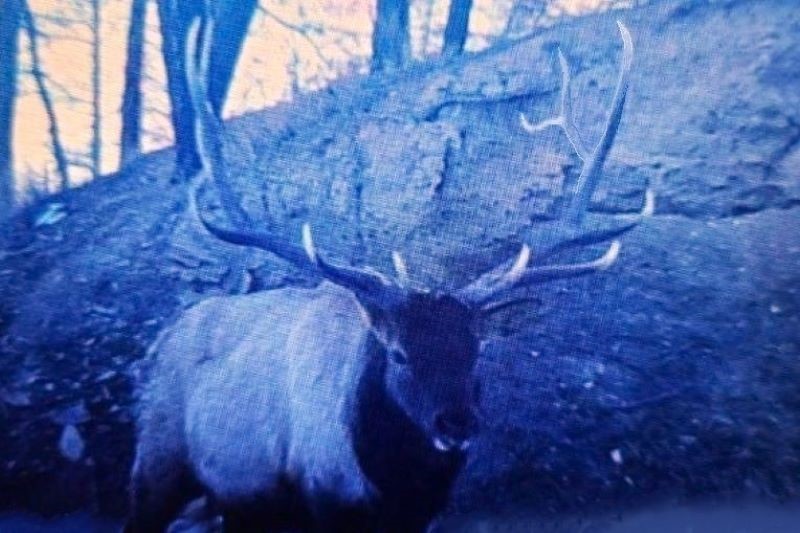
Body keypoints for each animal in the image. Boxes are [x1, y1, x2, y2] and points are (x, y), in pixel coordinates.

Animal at [126, 16, 648, 532]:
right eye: (398, 354)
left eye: (475, 351)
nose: (456, 424)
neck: (391, 488)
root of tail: (160, 340)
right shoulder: (322, 497)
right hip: (157, 458)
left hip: (237, 502)